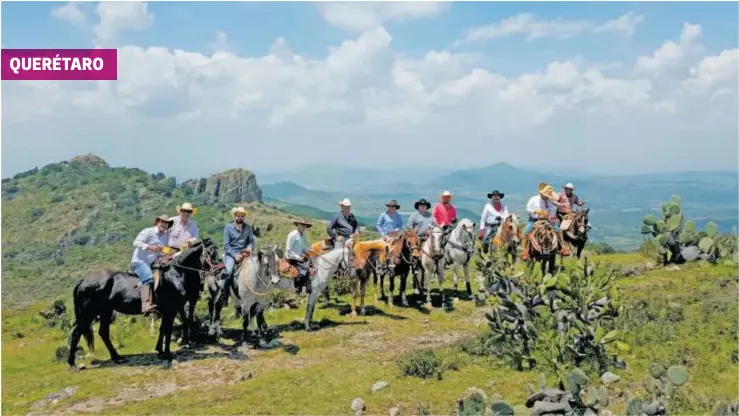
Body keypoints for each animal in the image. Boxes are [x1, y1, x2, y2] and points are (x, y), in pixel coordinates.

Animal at [68, 237, 220, 368]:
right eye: (210, 252)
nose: (221, 271)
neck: (175, 273)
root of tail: (83, 280)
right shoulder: (170, 309)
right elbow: (168, 329)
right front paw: (167, 353)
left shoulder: (168, 310)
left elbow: (163, 329)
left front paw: (160, 351)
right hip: (88, 313)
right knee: (77, 333)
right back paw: (72, 362)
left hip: (105, 311)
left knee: (103, 333)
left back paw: (117, 357)